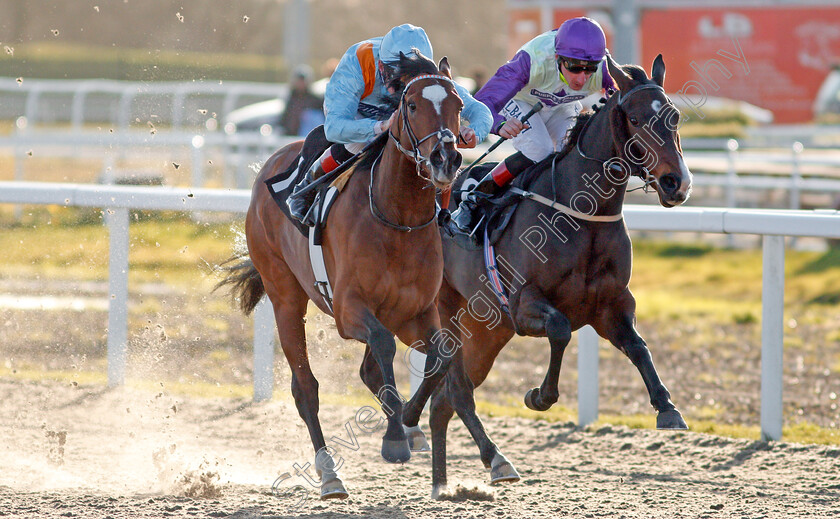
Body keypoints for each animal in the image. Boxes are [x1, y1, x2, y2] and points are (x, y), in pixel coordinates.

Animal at [217, 51, 520, 500]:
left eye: (458, 104)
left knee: (370, 370)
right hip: (285, 295)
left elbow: (441, 357)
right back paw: (329, 474)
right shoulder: (349, 310)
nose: (445, 158)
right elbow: (384, 346)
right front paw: (395, 436)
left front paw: (410, 421)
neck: (397, 219)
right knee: (305, 388)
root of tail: (270, 163)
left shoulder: (416, 311)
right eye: (411, 106)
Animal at [430, 54, 692, 498]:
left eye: (674, 117)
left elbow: (639, 347)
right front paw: (539, 395)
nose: (678, 183)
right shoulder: (523, 306)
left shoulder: (611, 307)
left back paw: (441, 483)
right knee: (458, 391)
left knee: (443, 400)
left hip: (486, 332)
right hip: (452, 314)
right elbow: (560, 329)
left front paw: (667, 407)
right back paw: (496, 461)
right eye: (636, 119)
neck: (581, 215)